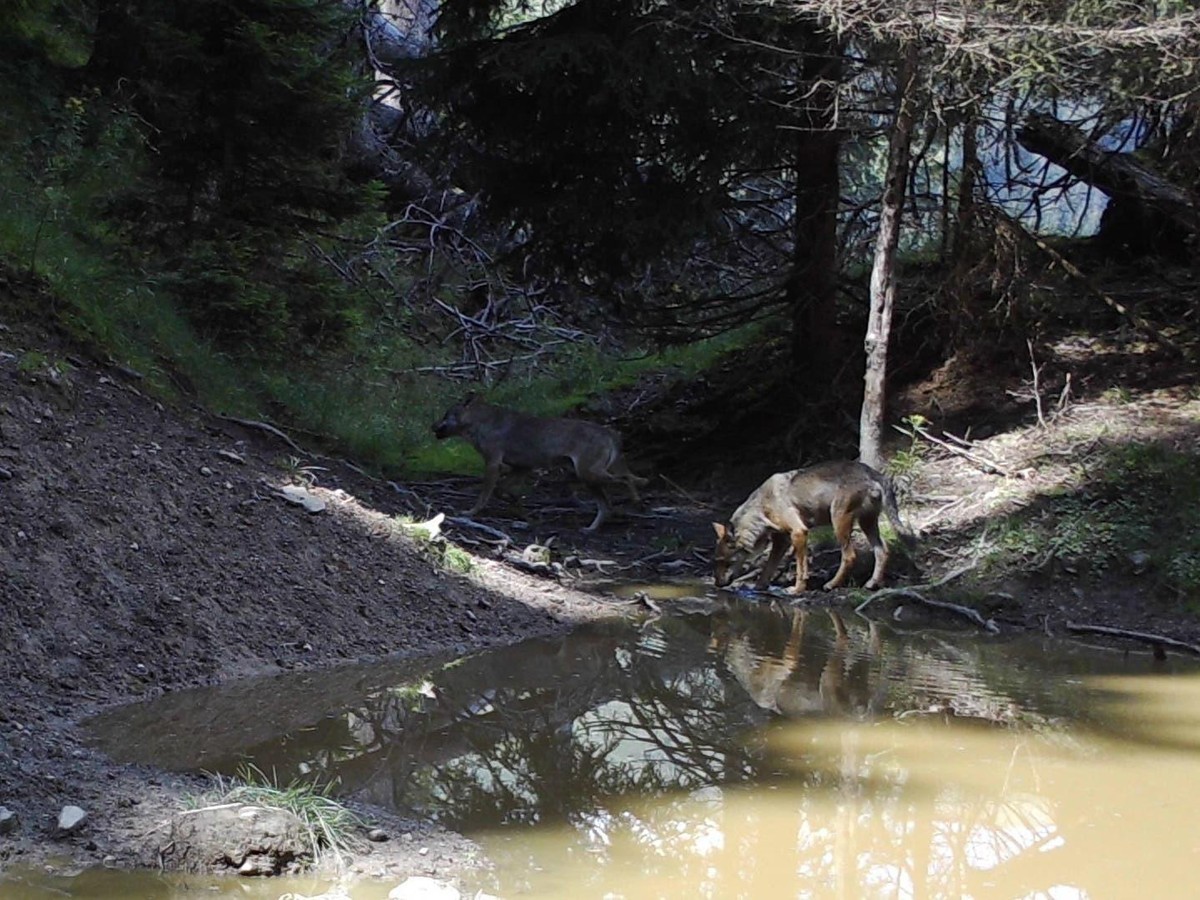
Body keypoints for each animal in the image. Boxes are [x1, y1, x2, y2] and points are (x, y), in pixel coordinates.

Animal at [432, 393, 647, 532]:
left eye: (445, 415)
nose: (431, 427)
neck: (481, 424)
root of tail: (609, 432)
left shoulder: (494, 464)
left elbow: (484, 495)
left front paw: (471, 512)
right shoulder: (522, 468)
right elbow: (502, 491)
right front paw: (519, 510)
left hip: (589, 475)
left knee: (625, 480)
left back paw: (636, 499)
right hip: (587, 479)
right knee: (606, 505)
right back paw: (590, 529)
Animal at [712, 460, 915, 593]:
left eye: (725, 562)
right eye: (717, 561)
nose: (716, 584)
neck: (761, 509)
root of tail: (873, 473)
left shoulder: (799, 533)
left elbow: (801, 570)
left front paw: (797, 590)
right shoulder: (782, 540)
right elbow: (769, 567)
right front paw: (758, 587)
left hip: (839, 522)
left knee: (850, 556)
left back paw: (831, 585)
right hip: (867, 523)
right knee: (883, 550)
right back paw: (872, 584)